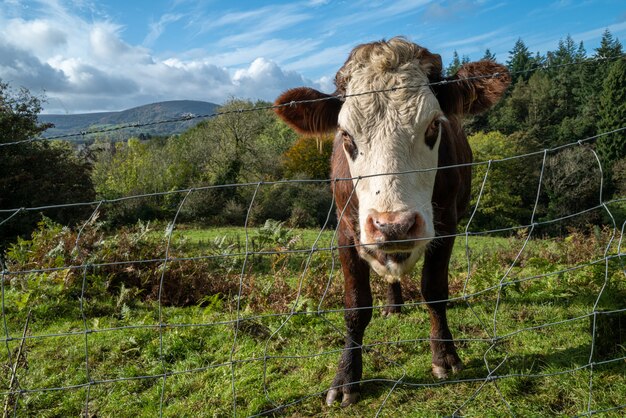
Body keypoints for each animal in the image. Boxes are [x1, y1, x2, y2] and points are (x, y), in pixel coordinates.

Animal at [272, 37, 508, 406]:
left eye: (433, 126)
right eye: (346, 135)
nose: (393, 225)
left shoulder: (446, 223)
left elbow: (434, 291)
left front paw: (445, 356)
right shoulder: (347, 229)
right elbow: (356, 305)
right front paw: (346, 377)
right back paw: (393, 304)